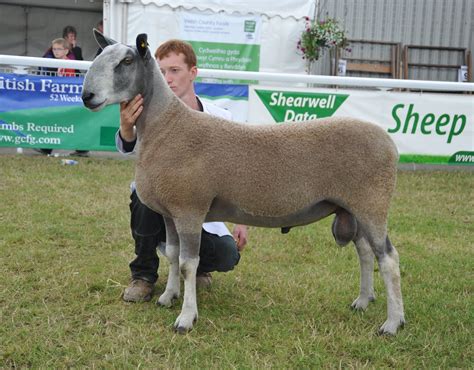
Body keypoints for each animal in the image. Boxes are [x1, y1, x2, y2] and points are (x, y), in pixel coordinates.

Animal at [80, 32, 404, 336]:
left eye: (126, 61)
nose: (86, 96)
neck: (166, 126)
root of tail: (389, 143)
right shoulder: (170, 213)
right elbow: (172, 255)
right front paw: (169, 297)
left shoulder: (189, 209)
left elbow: (188, 264)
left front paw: (186, 318)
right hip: (351, 209)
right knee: (365, 253)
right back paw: (363, 301)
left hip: (373, 205)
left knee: (388, 259)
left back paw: (392, 323)